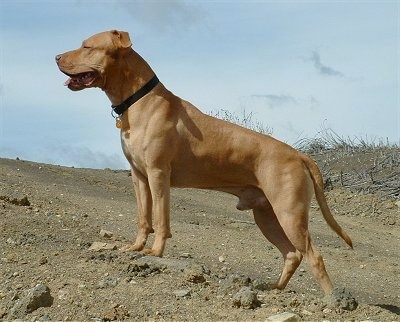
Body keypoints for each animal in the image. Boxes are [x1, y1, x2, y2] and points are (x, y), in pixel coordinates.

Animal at [56, 29, 354, 294]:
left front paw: (155, 252)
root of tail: (300, 154)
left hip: (289, 213)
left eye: (86, 46)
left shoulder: (158, 174)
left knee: (315, 257)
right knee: (292, 254)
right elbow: (143, 217)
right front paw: (137, 247)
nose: (56, 56)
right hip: (267, 215)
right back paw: (275, 289)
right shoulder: (139, 177)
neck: (138, 100)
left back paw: (332, 302)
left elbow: (161, 220)